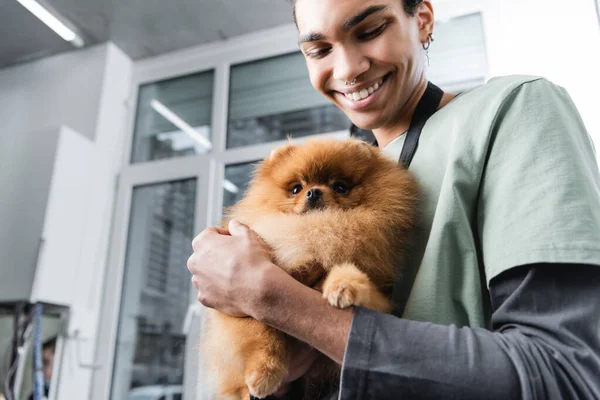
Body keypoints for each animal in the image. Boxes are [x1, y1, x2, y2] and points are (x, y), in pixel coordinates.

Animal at [202, 137, 418, 396]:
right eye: (296, 188)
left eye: (340, 187)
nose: (314, 191)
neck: (317, 226)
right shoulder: (236, 302)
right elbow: (262, 331)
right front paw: (263, 373)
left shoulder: (380, 293)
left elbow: (354, 276)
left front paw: (345, 285)